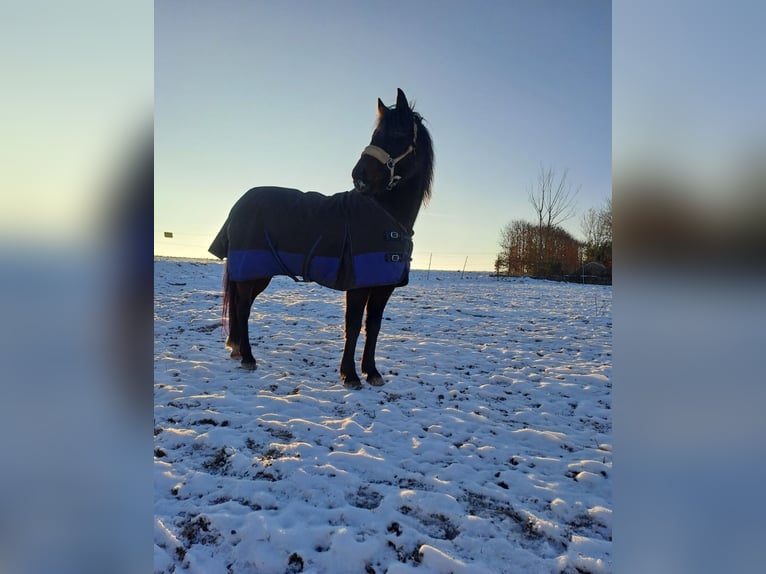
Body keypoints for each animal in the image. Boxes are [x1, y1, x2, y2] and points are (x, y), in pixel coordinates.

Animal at [209, 89, 434, 389]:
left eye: (397, 134)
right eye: (376, 134)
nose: (359, 176)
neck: (387, 216)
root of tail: (239, 204)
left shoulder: (383, 286)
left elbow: (373, 326)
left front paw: (372, 372)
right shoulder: (358, 285)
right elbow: (353, 326)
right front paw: (350, 375)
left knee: (238, 307)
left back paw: (235, 349)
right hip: (253, 272)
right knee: (243, 308)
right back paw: (247, 357)